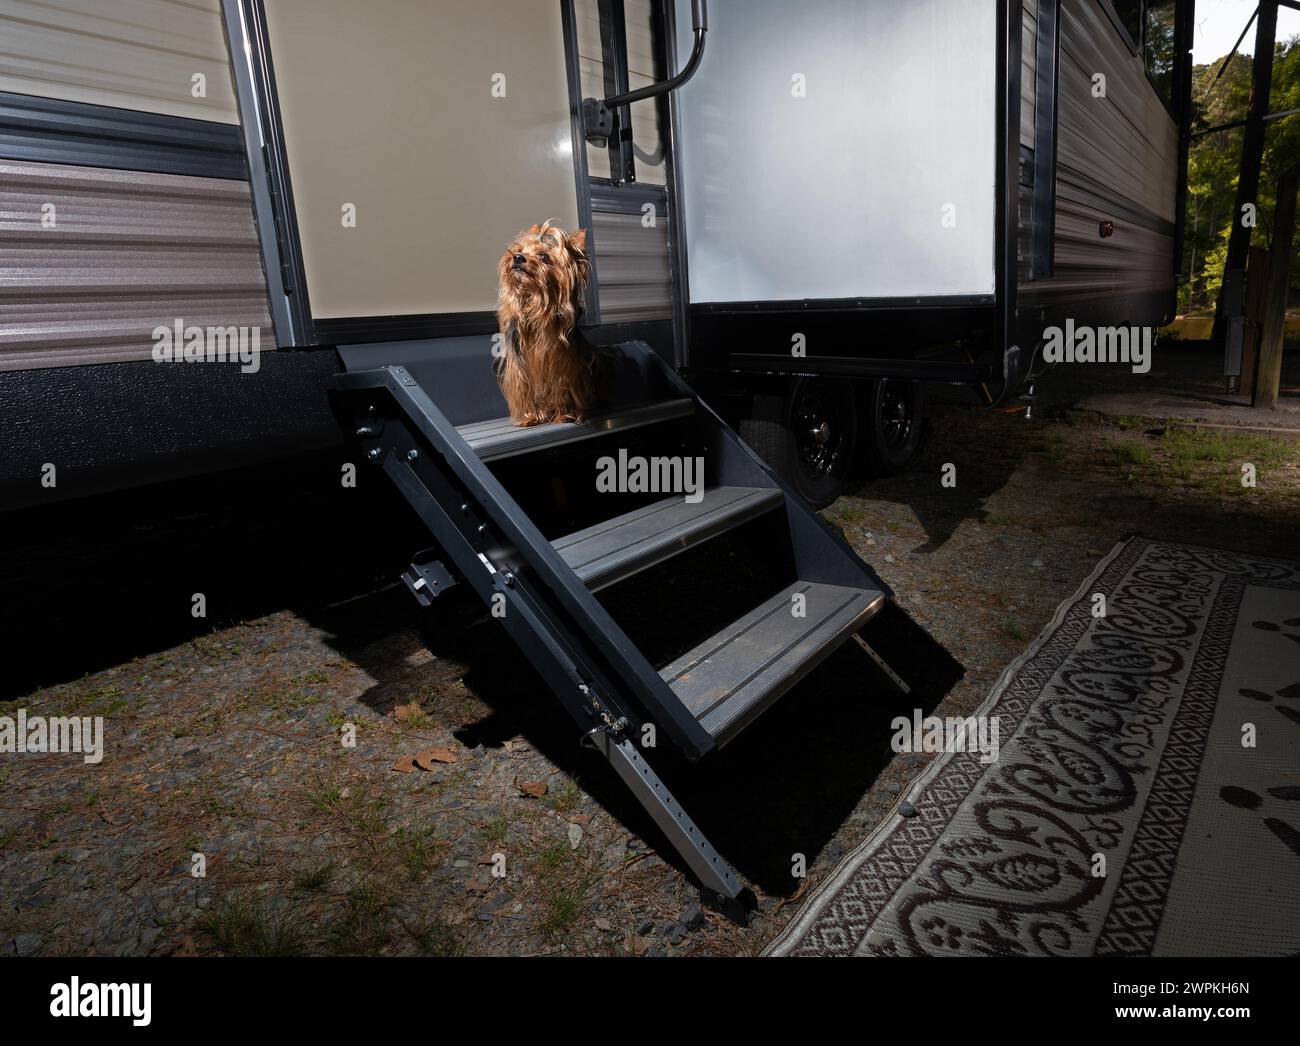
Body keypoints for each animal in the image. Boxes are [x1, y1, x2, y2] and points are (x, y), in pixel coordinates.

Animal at [493, 220, 605, 423]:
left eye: (544, 256)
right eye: (519, 250)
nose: (518, 258)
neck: (534, 303)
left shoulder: (562, 365)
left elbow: (561, 387)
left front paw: (565, 413)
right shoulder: (520, 369)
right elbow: (525, 388)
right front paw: (530, 416)